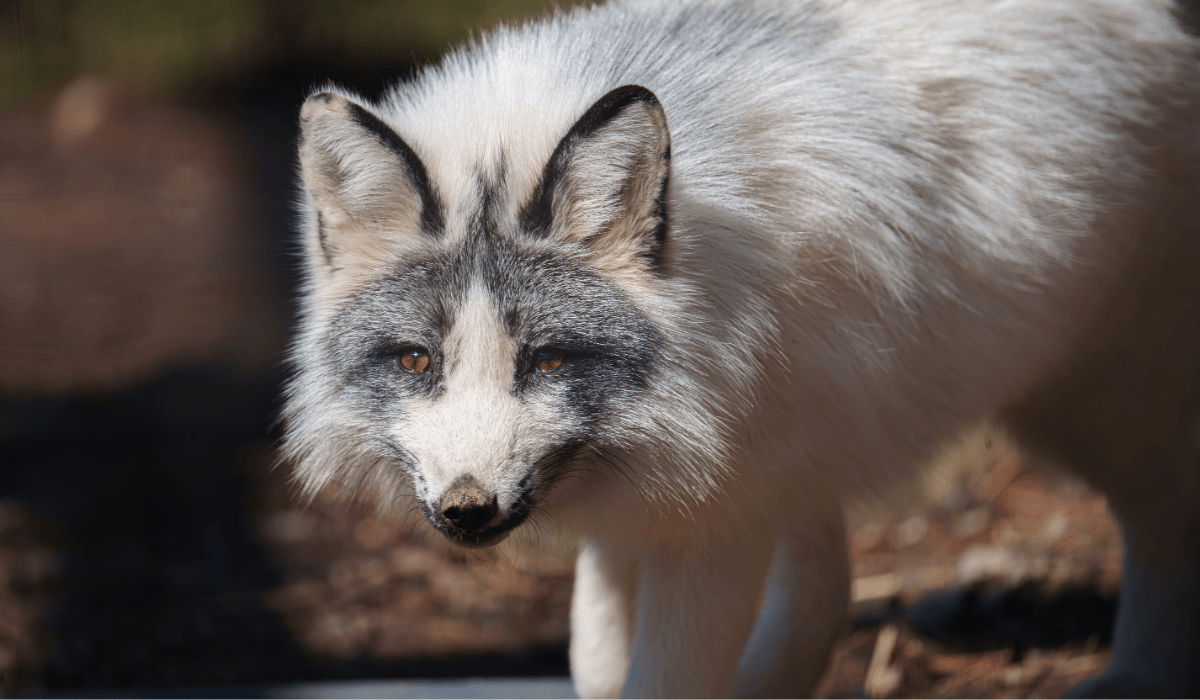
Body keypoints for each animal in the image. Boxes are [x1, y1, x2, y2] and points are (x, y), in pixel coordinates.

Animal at [281, 0, 1200, 696]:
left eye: (547, 359)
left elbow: (658, 682)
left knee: (1165, 517)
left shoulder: (713, 522)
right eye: (416, 361)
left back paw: (1136, 677)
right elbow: (595, 657)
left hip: (1092, 407)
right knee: (825, 585)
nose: (466, 510)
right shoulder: (662, 496)